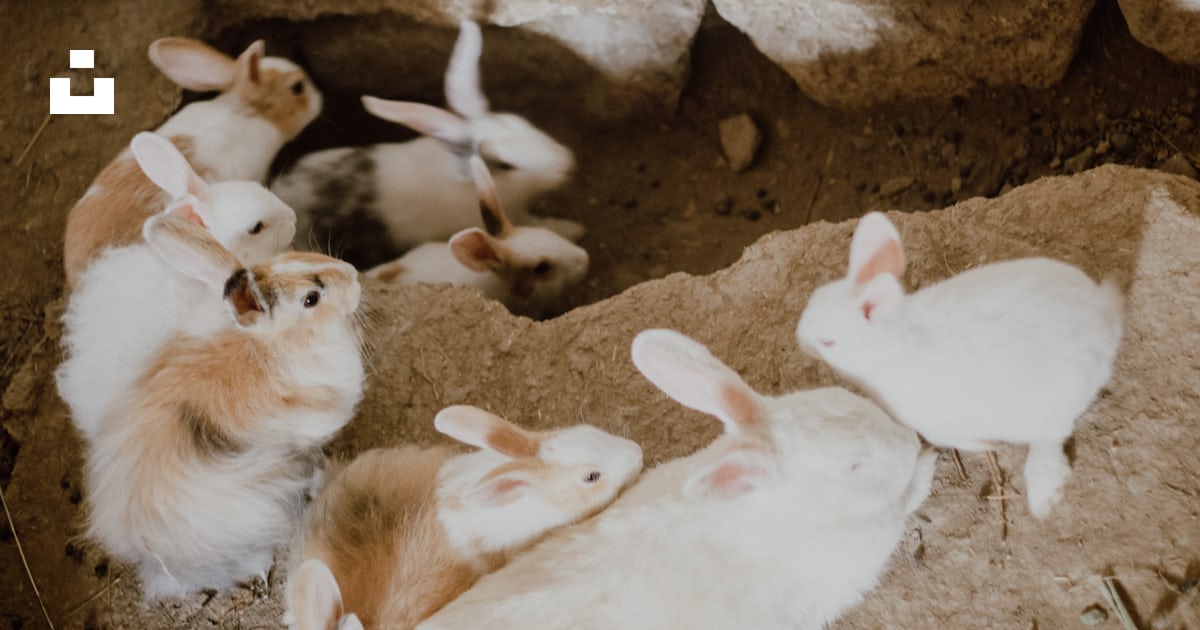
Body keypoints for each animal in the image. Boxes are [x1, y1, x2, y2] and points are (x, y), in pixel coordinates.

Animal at [795, 211, 1124, 518]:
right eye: (813, 300)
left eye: (828, 342)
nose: (800, 338)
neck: (890, 348)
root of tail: (1103, 314)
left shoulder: (934, 424)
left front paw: (986, 446)